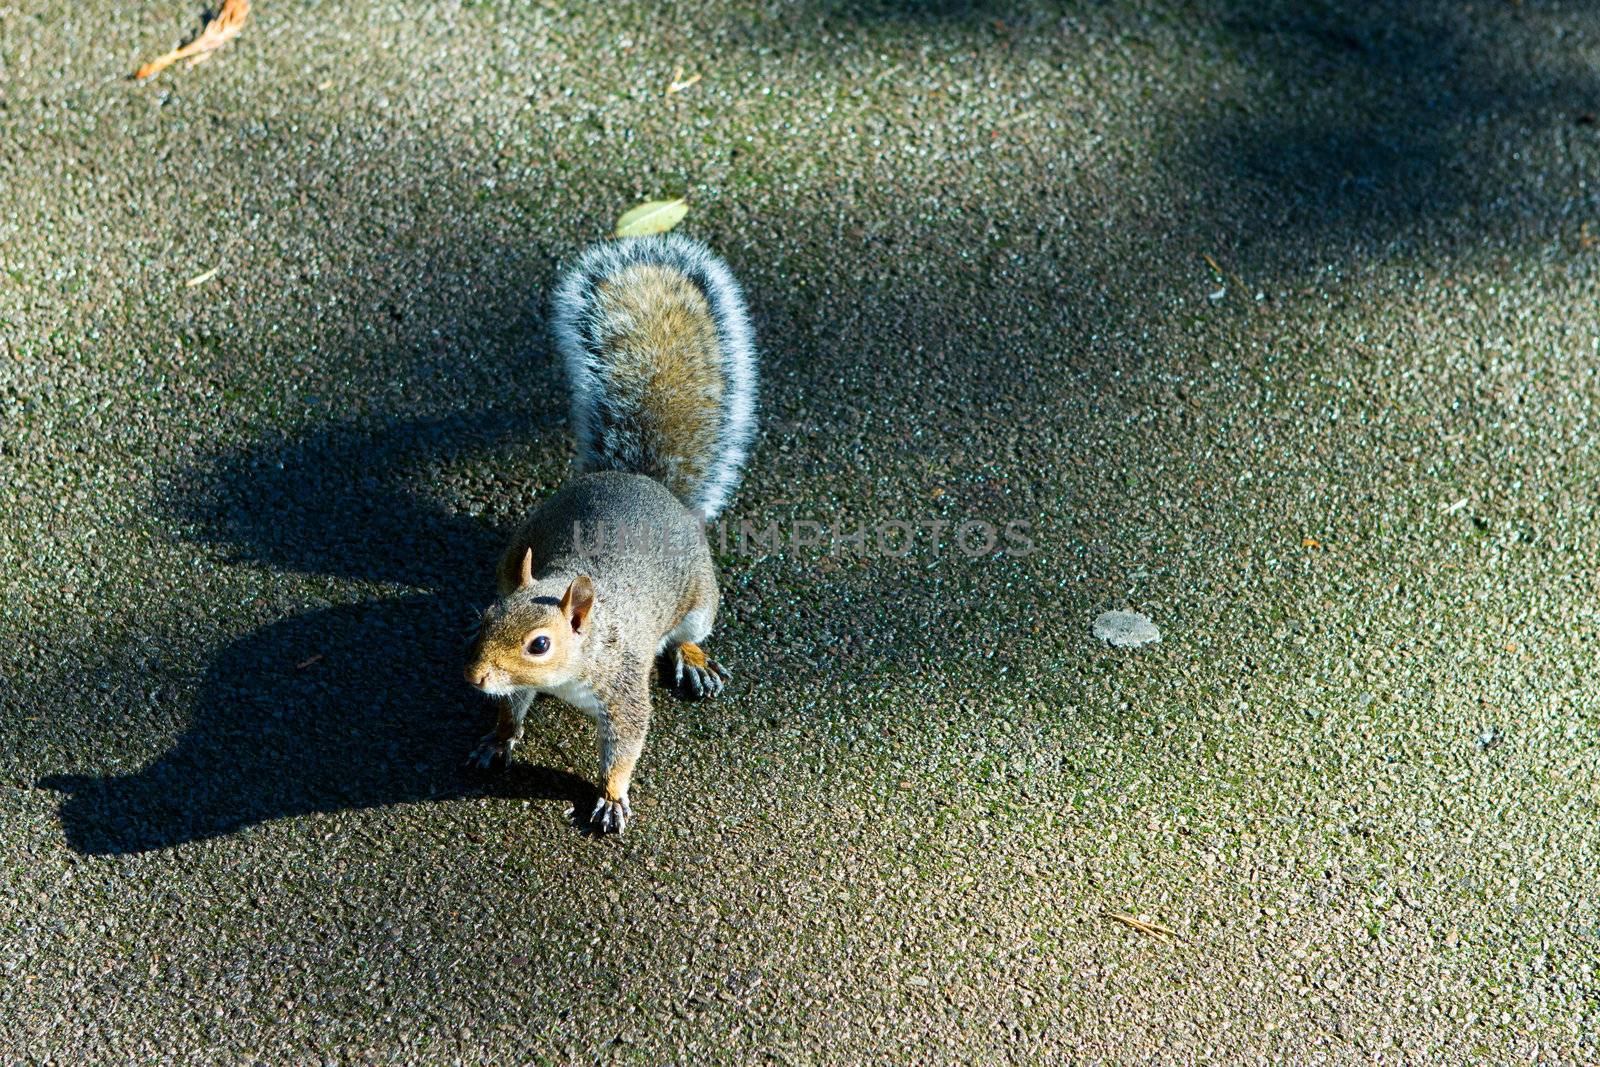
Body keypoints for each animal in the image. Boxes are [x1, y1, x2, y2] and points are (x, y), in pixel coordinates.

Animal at [467, 235, 758, 831]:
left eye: (539, 644)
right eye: (487, 615)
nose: (477, 678)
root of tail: (643, 481)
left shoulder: (623, 689)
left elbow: (626, 744)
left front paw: (611, 796)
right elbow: (511, 711)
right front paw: (498, 739)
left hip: (700, 599)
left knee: (688, 633)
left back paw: (693, 660)